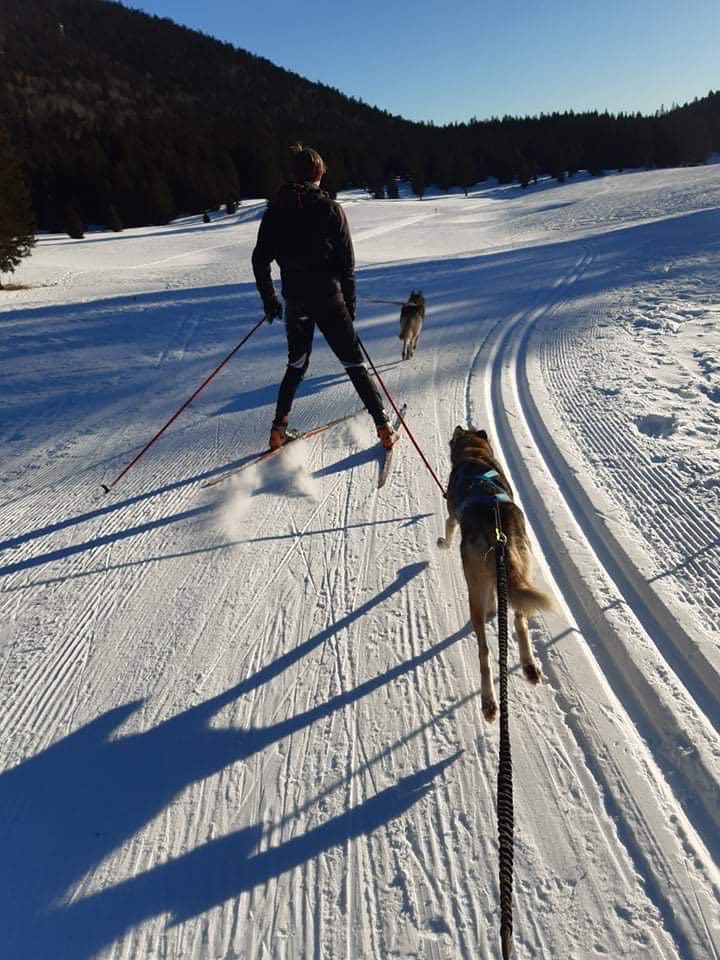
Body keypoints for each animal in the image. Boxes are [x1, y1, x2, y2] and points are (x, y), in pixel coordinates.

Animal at [437, 426, 553, 721]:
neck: (474, 454)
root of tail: (493, 522)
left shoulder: (451, 517)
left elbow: (448, 528)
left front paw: (442, 543)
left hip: (474, 590)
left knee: (484, 651)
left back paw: (489, 701)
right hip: (523, 566)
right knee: (520, 619)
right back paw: (529, 665)